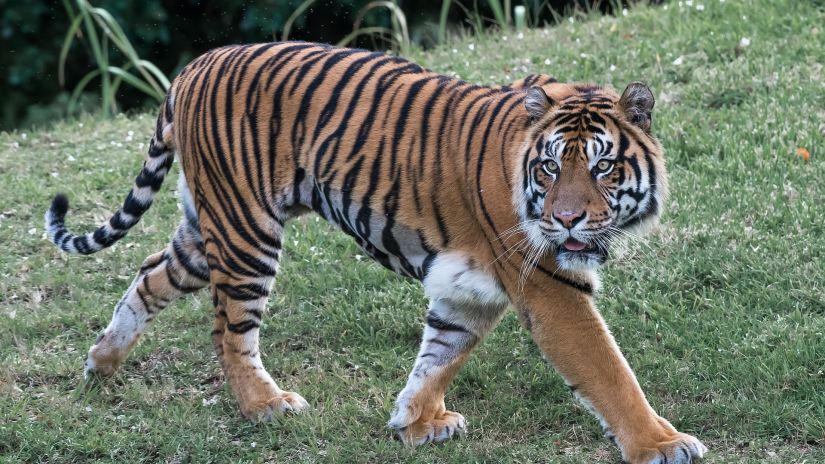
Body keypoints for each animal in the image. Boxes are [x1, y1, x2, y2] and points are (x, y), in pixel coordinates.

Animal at [43, 41, 708, 462]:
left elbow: (441, 354)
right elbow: (608, 370)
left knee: (150, 273)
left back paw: (102, 364)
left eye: (602, 167)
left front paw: (416, 421)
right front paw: (661, 445)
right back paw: (265, 406)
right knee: (229, 330)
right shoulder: (550, 287)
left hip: (207, 232)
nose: (566, 218)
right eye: (550, 168)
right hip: (246, 232)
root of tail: (192, 66)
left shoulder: (468, 288)